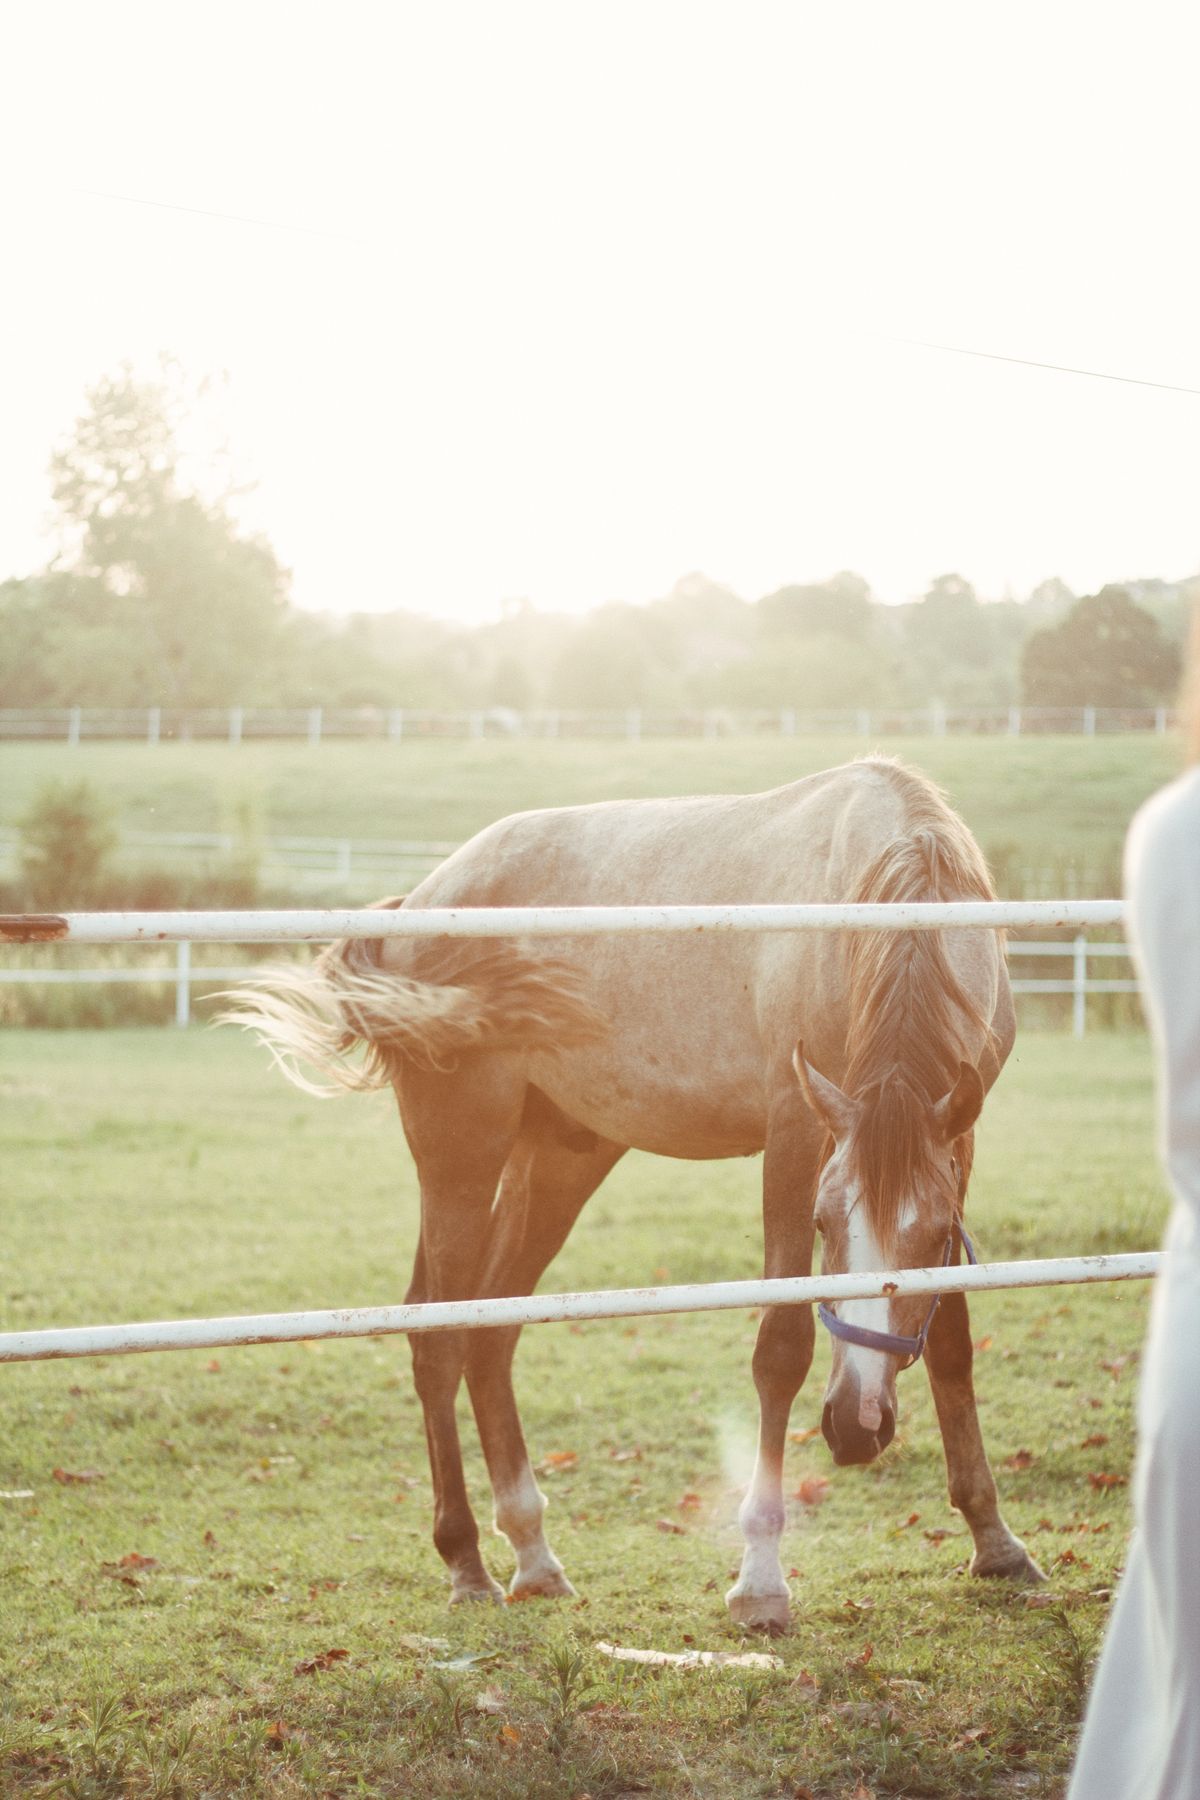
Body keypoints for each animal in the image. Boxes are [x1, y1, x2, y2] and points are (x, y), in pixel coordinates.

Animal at [224, 755, 1043, 1633]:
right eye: (824, 1224)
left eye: (931, 1236)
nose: (855, 1429)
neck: (886, 886)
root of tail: (418, 903)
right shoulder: (796, 1133)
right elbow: (781, 1347)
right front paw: (761, 1579)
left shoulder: (954, 1144)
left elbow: (952, 1340)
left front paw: (996, 1541)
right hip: (461, 1156)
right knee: (436, 1333)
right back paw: (467, 1563)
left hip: (560, 1160)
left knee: (491, 1332)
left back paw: (534, 1553)